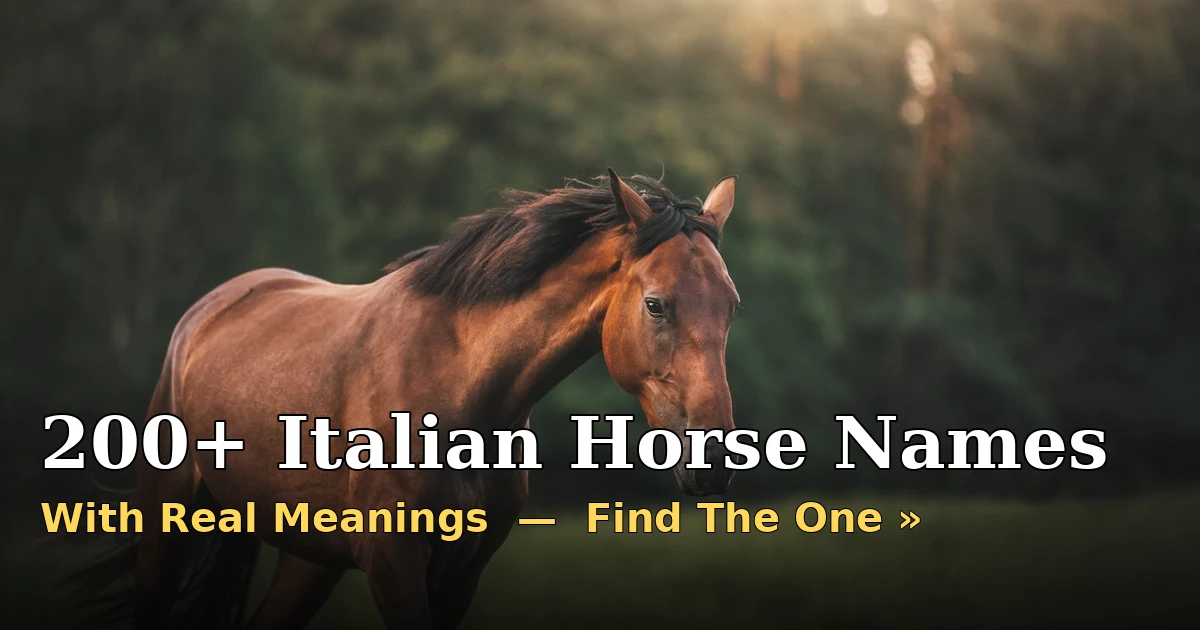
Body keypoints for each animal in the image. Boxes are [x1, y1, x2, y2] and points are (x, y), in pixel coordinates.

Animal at [66, 169, 741, 629]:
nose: (714, 461)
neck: (457, 385)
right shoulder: (394, 565)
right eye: (655, 304)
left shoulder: (461, 573)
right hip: (169, 524)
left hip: (310, 559)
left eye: (731, 306)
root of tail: (209, 311)